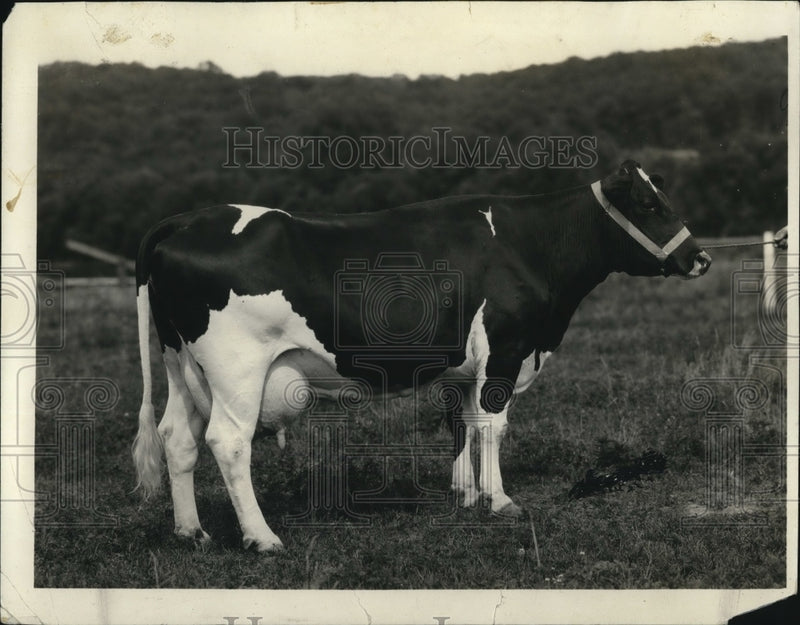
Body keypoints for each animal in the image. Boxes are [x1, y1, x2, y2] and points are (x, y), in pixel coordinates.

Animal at [133, 160, 711, 552]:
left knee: (177, 438)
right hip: (237, 370)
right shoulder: (505, 350)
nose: (699, 256)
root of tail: (183, 220)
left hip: (181, 364)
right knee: (227, 443)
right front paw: (500, 500)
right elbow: (492, 427)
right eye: (650, 205)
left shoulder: (465, 367)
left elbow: (463, 425)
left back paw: (191, 531)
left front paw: (466, 494)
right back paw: (262, 537)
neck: (528, 243)